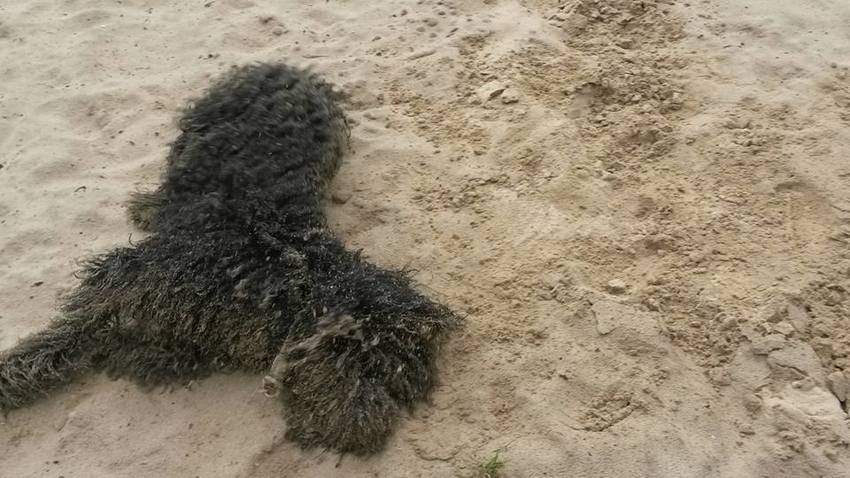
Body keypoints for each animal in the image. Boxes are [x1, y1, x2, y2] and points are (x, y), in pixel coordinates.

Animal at [0, 63, 457, 455]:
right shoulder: (121, 282)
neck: (281, 271)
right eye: (375, 369)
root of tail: (290, 67)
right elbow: (57, 340)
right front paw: (13, 378)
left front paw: (135, 353)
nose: (370, 438)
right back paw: (148, 208)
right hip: (195, 131)